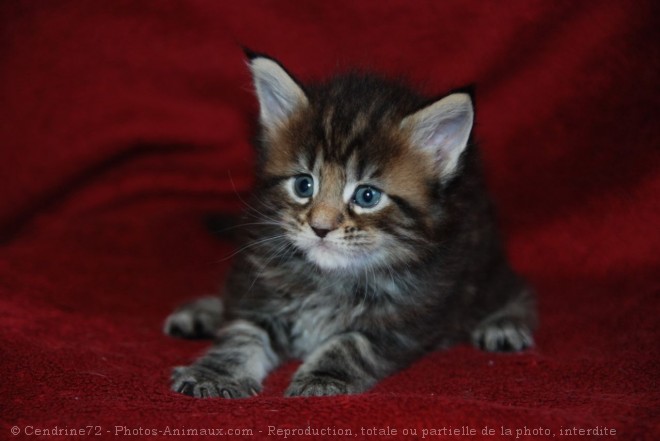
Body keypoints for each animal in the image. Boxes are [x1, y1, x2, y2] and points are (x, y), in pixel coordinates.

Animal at [164, 52, 536, 398]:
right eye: (304, 185)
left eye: (367, 196)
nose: (320, 227)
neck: (331, 279)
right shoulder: (258, 286)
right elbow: (241, 333)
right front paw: (215, 374)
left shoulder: (409, 316)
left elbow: (350, 344)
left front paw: (321, 377)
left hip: (483, 266)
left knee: (517, 287)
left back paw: (506, 323)